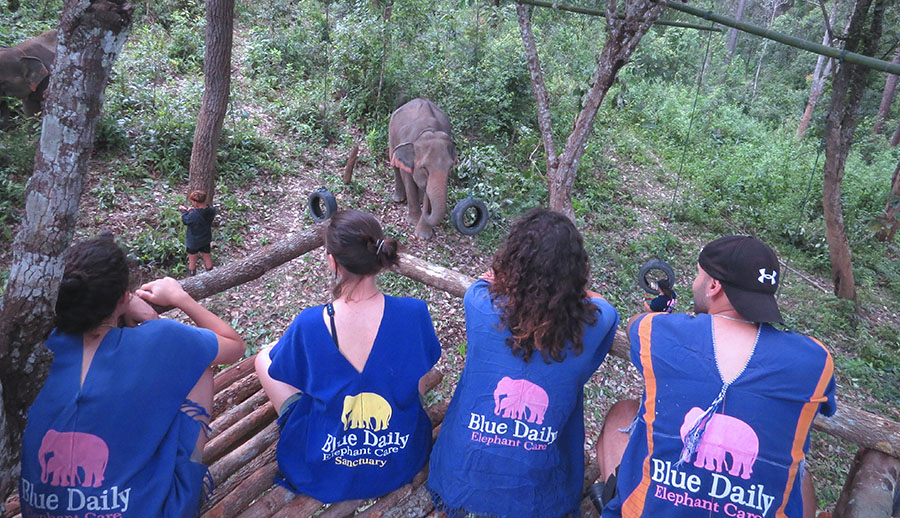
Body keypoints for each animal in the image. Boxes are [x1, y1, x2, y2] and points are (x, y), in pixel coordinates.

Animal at [386, 98, 458, 242]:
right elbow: (409, 181)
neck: (429, 131)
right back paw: (398, 199)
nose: (426, 212)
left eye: (450, 168)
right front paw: (414, 221)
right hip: (391, 132)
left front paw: (423, 236)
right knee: (393, 160)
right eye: (424, 168)